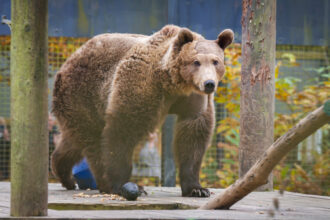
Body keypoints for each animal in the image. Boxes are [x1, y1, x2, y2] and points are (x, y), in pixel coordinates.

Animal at [51, 24, 232, 197]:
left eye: (216, 61)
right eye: (196, 61)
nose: (209, 84)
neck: (173, 84)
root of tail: (67, 62)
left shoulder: (193, 99)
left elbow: (193, 136)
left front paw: (197, 189)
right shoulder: (143, 86)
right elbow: (123, 129)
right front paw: (123, 184)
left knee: (74, 140)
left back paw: (64, 173)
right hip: (83, 93)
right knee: (93, 140)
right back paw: (104, 183)